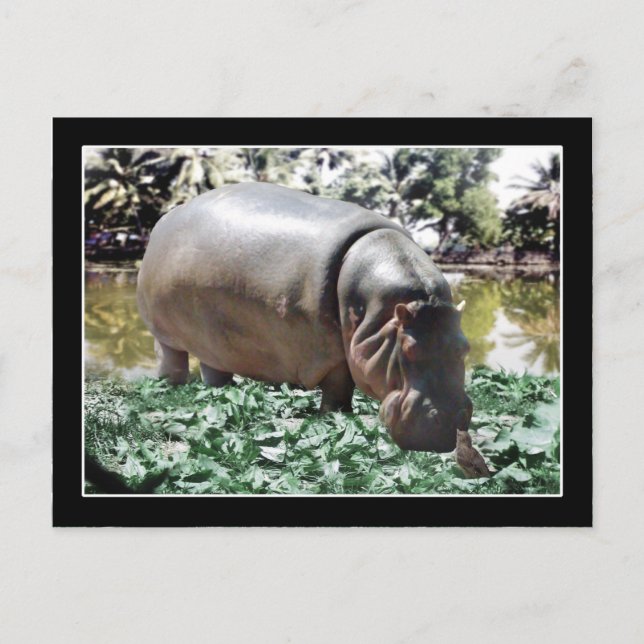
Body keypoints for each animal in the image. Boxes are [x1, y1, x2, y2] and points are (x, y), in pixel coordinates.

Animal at [137, 182, 472, 452]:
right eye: (408, 349)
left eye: (464, 348)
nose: (449, 422)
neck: (383, 315)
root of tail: (165, 219)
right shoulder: (330, 353)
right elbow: (338, 388)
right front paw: (336, 415)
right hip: (163, 333)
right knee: (171, 358)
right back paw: (171, 386)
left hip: (213, 339)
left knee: (213, 366)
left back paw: (221, 391)